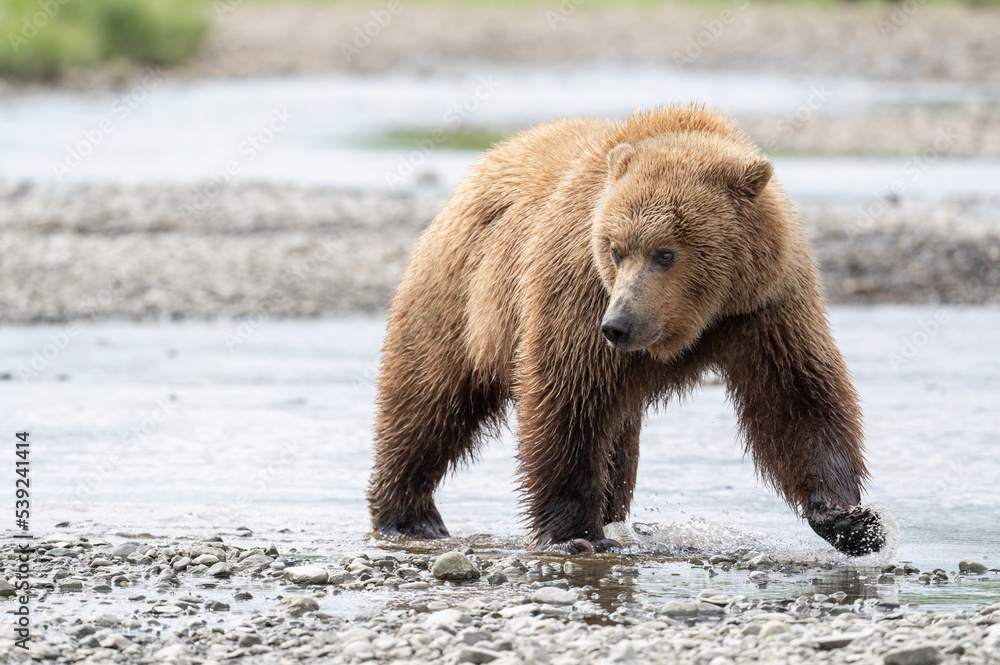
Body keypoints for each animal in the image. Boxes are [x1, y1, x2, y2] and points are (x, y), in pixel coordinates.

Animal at [368, 104, 884, 556]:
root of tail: (487, 161)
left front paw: (850, 520)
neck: (699, 320)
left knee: (618, 442)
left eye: (666, 252)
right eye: (616, 249)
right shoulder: (579, 294)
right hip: (459, 295)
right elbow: (567, 399)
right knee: (428, 400)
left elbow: (796, 397)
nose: (618, 325)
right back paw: (409, 516)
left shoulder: (765, 307)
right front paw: (576, 536)